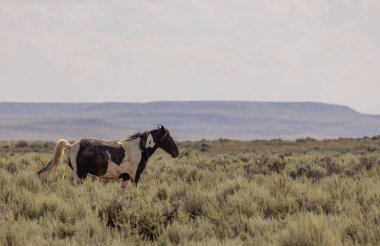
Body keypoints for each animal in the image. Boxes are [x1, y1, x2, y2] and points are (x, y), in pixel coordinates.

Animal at [38, 126, 180, 187]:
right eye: (168, 137)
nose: (176, 152)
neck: (139, 148)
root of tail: (72, 145)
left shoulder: (126, 177)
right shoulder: (135, 177)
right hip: (80, 175)